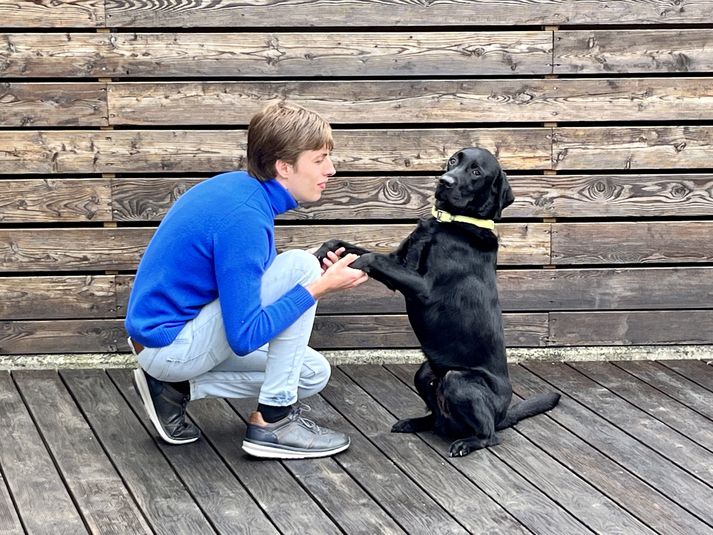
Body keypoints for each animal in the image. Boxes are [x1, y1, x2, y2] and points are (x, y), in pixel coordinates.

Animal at [314, 147, 560, 456]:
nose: (445, 181)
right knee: (437, 418)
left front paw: (350, 266)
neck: (449, 223)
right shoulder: (399, 262)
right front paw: (321, 253)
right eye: (454, 160)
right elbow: (343, 243)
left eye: (476, 172)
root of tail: (503, 414)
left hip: (457, 380)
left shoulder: (423, 287)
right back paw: (415, 422)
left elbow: (372, 257)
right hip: (425, 372)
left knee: (490, 435)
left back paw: (467, 443)